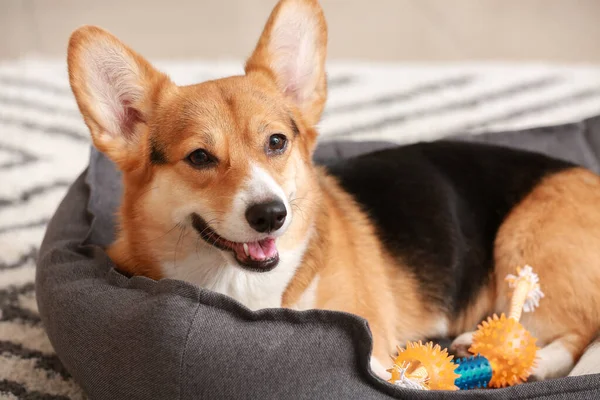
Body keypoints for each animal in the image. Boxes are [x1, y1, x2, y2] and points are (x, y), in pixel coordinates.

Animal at [68, 0, 600, 382]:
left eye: (276, 142)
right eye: (200, 157)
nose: (270, 215)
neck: (239, 286)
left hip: (524, 246)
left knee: (575, 335)